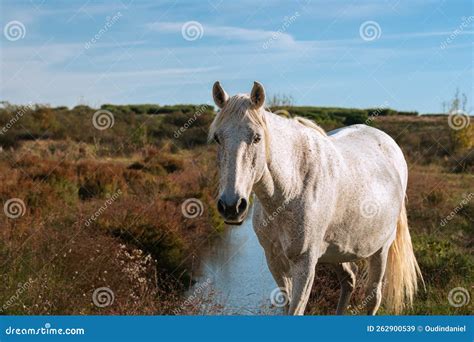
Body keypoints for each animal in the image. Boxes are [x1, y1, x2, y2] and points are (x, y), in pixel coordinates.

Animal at [209, 81, 424, 316]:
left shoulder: (305, 264)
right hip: (337, 251)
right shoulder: (275, 260)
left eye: (257, 137)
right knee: (349, 279)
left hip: (380, 250)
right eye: (217, 138)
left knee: (373, 297)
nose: (231, 206)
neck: (290, 190)